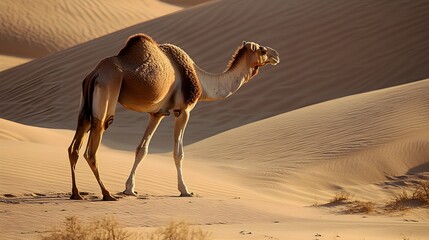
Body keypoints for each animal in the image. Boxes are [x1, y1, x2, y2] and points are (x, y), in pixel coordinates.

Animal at [67, 32, 280, 200]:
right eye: (262, 50)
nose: (276, 55)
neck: (201, 81)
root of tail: (95, 74)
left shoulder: (157, 113)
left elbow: (141, 149)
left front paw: (130, 189)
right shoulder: (183, 110)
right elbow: (178, 153)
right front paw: (185, 190)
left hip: (85, 105)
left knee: (74, 146)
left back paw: (77, 194)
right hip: (107, 93)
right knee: (92, 148)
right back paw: (106, 194)